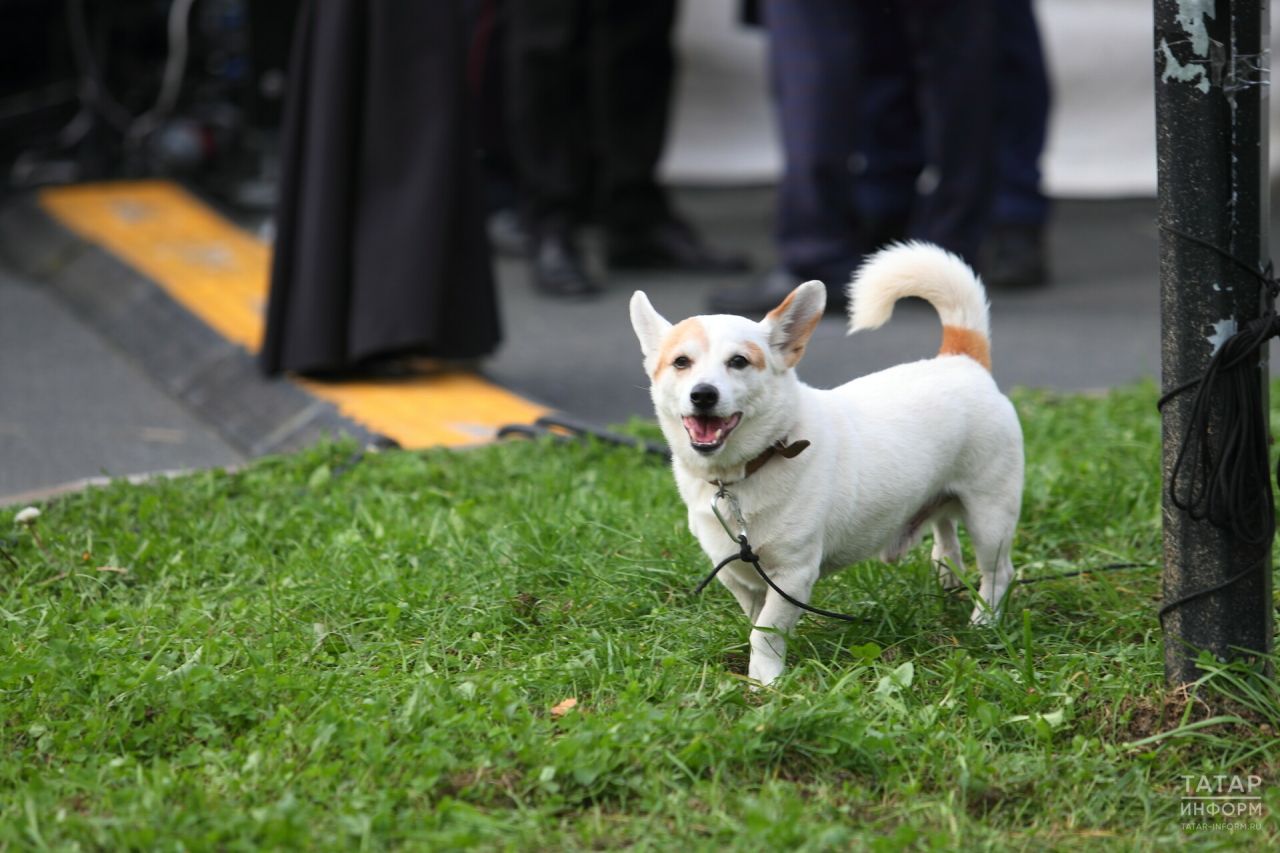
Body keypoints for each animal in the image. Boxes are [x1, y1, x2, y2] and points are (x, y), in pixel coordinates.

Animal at [624, 239, 1024, 686]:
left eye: (739, 362)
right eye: (681, 362)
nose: (703, 394)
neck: (746, 471)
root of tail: (961, 358)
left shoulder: (793, 574)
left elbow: (765, 632)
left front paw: (766, 683)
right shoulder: (738, 576)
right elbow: (755, 621)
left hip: (990, 516)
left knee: (998, 573)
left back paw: (984, 622)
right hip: (943, 498)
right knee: (946, 536)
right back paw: (946, 578)